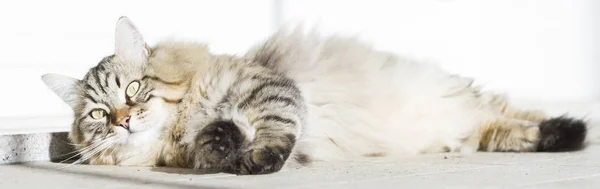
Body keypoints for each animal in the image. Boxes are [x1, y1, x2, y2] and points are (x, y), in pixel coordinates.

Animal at [41, 17, 584, 175]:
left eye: (134, 89)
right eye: (98, 114)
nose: (123, 119)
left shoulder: (272, 89)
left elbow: (276, 126)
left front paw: (258, 158)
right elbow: (216, 142)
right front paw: (221, 143)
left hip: (465, 100)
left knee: (511, 114)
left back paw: (571, 130)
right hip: (474, 128)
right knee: (505, 130)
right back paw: (561, 134)